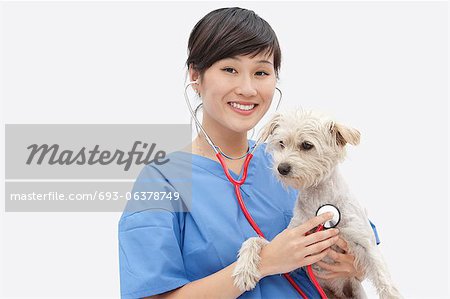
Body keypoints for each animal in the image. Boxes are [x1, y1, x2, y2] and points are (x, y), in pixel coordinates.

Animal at [232, 110, 400, 299]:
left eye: (307, 145)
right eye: (281, 143)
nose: (281, 168)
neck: (319, 200)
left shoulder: (365, 243)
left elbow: (383, 278)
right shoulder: (288, 246)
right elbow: (254, 240)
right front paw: (244, 270)